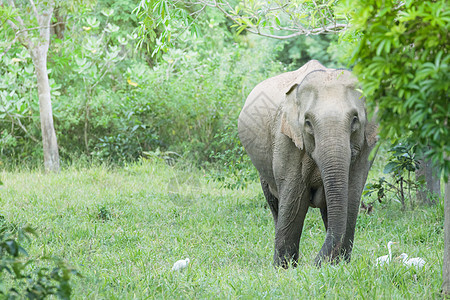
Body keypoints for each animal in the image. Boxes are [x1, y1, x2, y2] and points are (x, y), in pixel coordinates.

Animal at [237, 60, 378, 268]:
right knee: (274, 202)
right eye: (308, 122)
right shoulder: (286, 139)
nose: (316, 263)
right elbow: (294, 199)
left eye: (355, 120)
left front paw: (339, 265)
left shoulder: (365, 148)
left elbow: (351, 196)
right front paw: (284, 268)